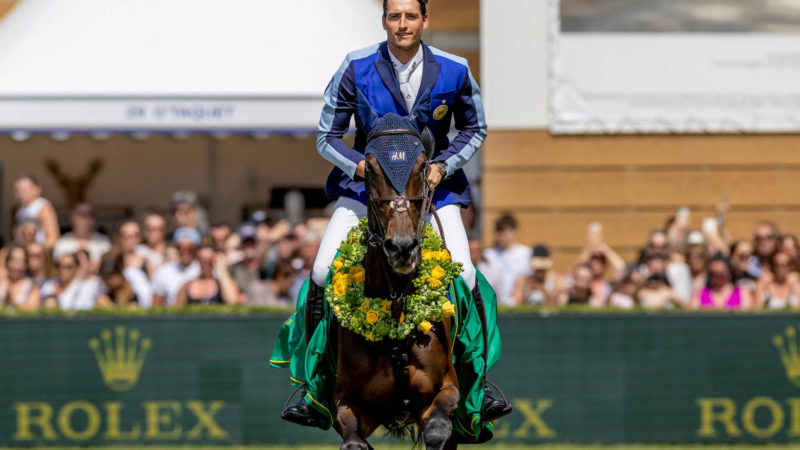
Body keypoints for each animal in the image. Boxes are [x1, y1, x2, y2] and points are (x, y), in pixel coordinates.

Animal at [332, 113, 460, 450]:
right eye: (370, 168)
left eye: (422, 166)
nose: (401, 248)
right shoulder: (348, 402)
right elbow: (353, 442)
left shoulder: (446, 389)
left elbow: (438, 429)